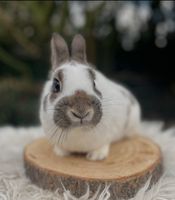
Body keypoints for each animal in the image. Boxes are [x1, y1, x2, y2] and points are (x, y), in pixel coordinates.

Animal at [39, 32, 142, 161]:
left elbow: (103, 145)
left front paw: (96, 157)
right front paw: (60, 153)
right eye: (56, 85)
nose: (81, 112)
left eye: (94, 82)